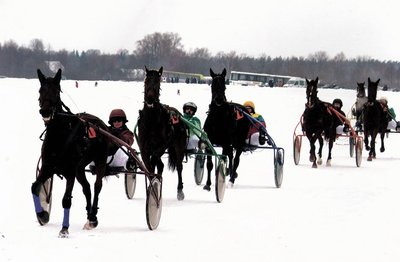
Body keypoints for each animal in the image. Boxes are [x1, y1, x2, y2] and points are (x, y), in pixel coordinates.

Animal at [32, 68, 114, 236]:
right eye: (40, 90)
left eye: (56, 91)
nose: (45, 111)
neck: (59, 136)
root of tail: (101, 124)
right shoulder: (48, 167)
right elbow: (35, 187)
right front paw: (42, 215)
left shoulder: (69, 171)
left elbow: (66, 199)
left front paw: (64, 229)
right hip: (80, 168)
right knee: (87, 187)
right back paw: (89, 216)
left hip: (100, 160)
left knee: (97, 186)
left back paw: (93, 218)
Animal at [138, 66, 188, 200]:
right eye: (146, 81)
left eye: (158, 82)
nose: (150, 99)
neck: (151, 122)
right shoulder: (144, 149)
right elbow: (149, 167)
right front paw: (151, 189)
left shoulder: (162, 145)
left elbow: (155, 160)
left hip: (179, 146)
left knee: (179, 166)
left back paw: (180, 191)